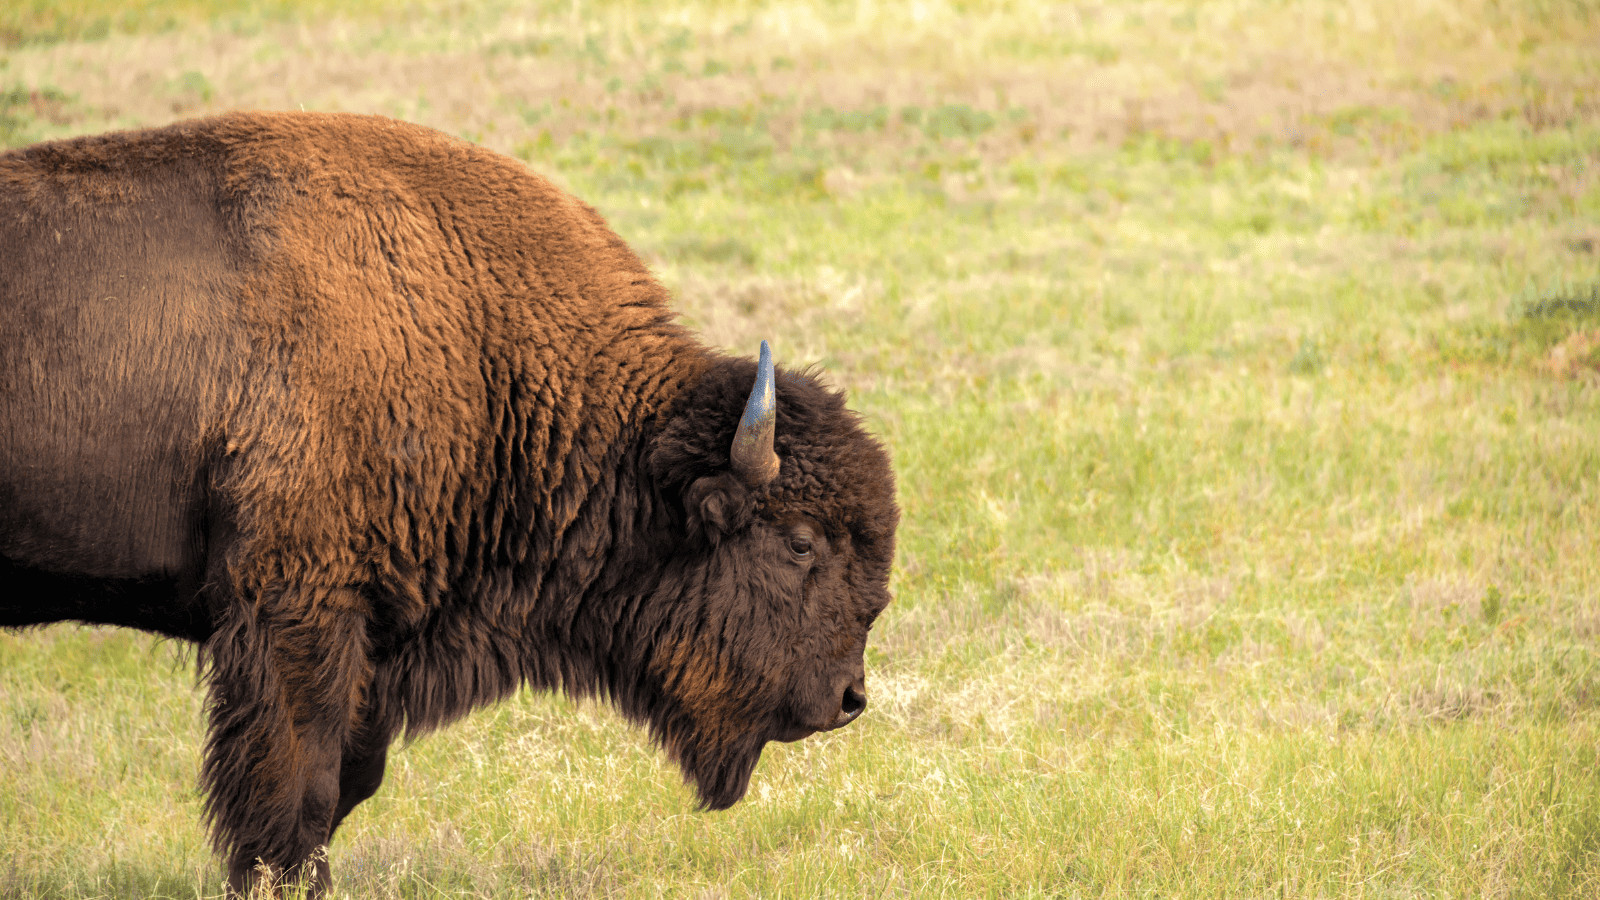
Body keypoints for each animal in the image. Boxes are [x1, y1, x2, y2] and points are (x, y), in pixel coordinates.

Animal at [0, 112, 898, 896]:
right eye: (800, 542)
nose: (849, 700)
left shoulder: (369, 640)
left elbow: (349, 779)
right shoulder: (297, 612)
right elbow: (296, 791)